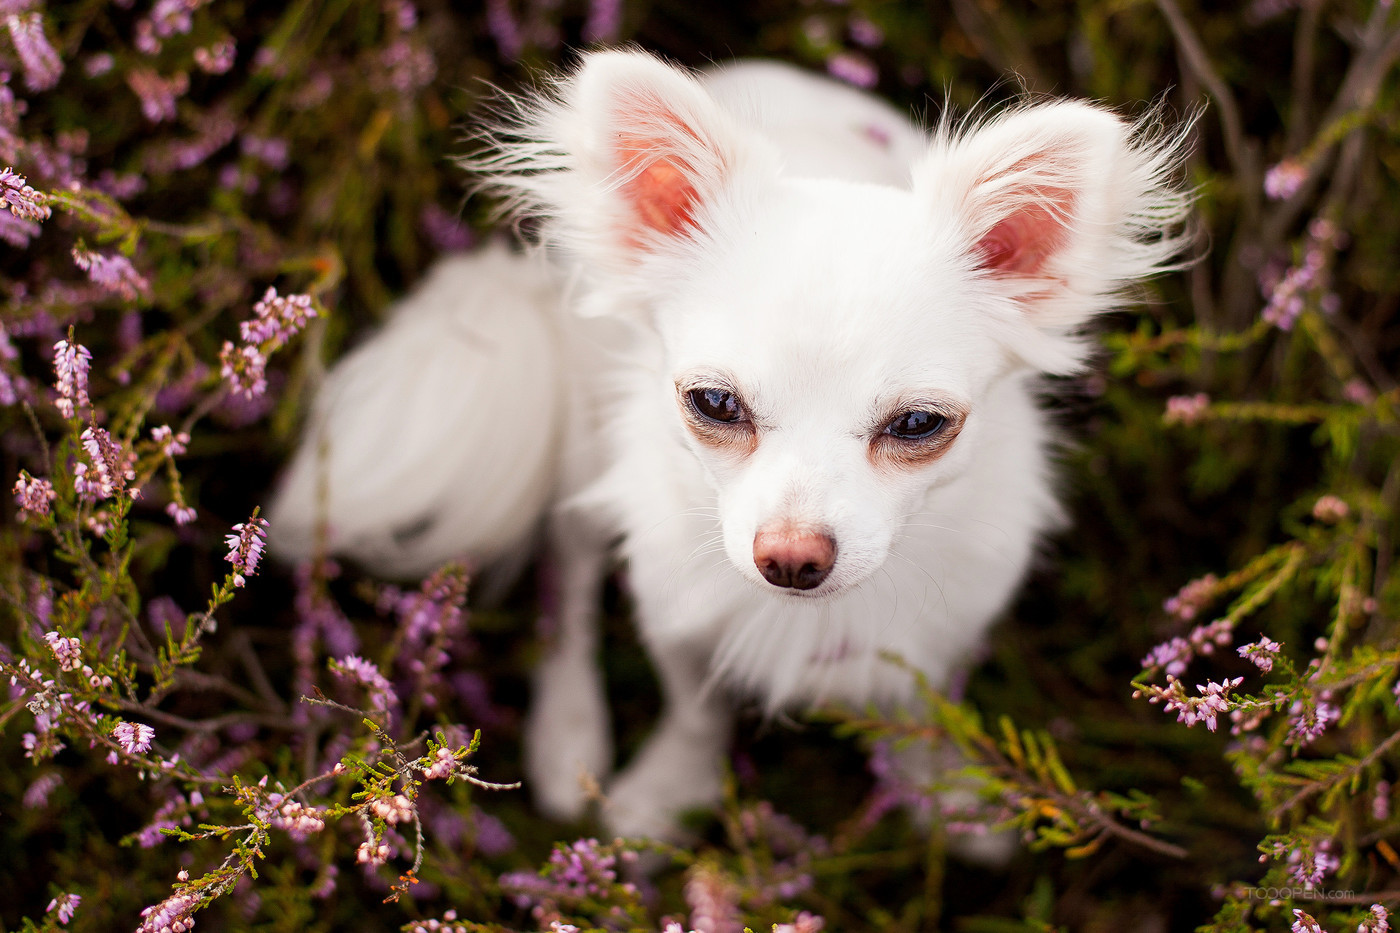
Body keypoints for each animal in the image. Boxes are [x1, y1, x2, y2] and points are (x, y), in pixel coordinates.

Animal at [270, 49, 1192, 834]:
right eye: (714, 403)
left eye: (919, 424)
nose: (791, 556)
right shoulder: (676, 610)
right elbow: (694, 706)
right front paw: (665, 789)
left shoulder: (943, 629)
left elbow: (915, 706)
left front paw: (936, 787)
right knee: (568, 581)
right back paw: (569, 735)